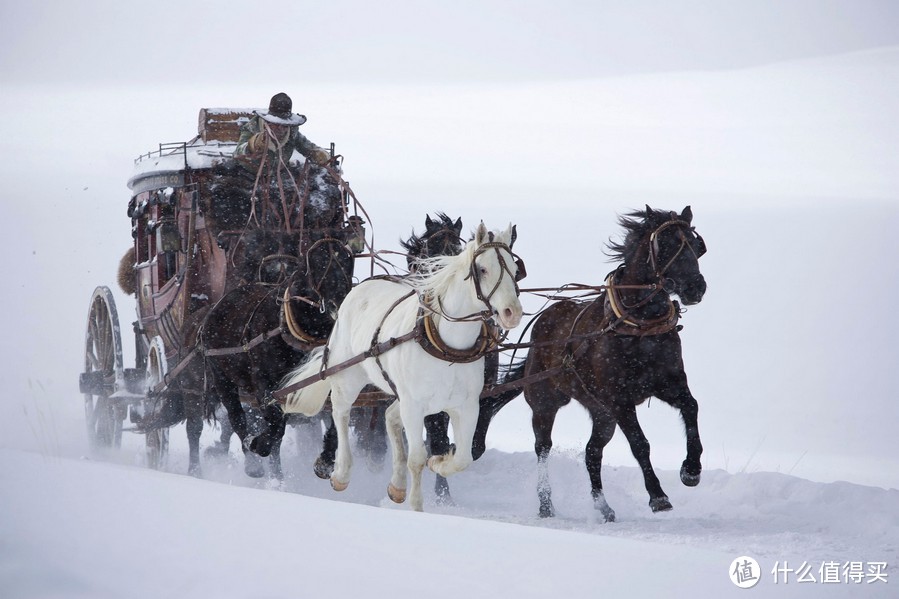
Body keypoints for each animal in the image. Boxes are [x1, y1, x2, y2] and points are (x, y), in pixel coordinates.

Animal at [280, 223, 520, 512]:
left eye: (515, 269)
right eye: (483, 269)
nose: (512, 313)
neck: (447, 346)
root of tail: (359, 288)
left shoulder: (466, 406)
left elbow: (463, 458)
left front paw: (439, 462)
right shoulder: (414, 405)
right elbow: (416, 458)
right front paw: (416, 507)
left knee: (389, 417)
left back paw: (396, 485)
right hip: (349, 377)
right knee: (340, 413)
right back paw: (341, 473)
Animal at [474, 206, 708, 520]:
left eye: (696, 246)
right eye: (667, 244)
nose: (697, 287)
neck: (638, 326)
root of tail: (542, 325)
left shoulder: (668, 383)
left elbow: (691, 408)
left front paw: (691, 470)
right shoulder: (619, 400)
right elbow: (640, 444)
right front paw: (658, 496)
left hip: (601, 413)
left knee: (592, 452)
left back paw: (603, 507)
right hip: (546, 402)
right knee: (543, 448)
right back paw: (546, 504)